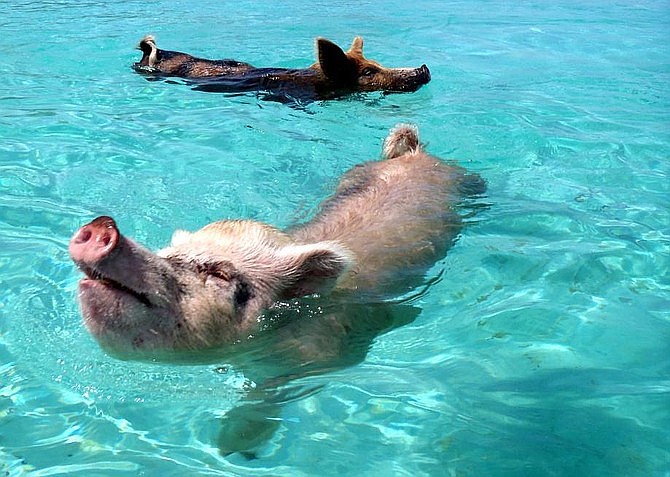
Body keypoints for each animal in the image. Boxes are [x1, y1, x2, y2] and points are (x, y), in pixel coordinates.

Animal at [69, 124, 488, 456]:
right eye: (168, 254)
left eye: (220, 274)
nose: (104, 226)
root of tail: (415, 153)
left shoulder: (324, 358)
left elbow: (269, 396)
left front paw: (232, 447)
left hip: (472, 185)